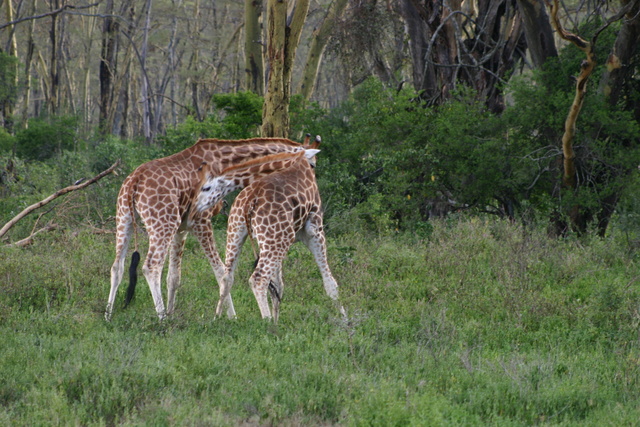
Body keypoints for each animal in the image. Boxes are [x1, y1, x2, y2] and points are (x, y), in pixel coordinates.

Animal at [105, 137, 310, 320]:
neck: (222, 160)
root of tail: (134, 182)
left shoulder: (182, 228)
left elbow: (174, 276)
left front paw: (172, 314)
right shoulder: (201, 220)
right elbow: (220, 271)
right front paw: (230, 317)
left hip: (124, 218)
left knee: (117, 266)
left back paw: (108, 315)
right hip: (162, 222)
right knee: (151, 266)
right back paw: (160, 318)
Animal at [198, 136, 348, 320]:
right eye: (313, 164)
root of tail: (251, 201)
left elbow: (278, 286)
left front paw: (278, 320)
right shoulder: (314, 231)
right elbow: (330, 282)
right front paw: (345, 320)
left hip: (238, 232)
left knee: (227, 277)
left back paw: (218, 318)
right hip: (278, 239)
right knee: (258, 279)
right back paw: (267, 322)